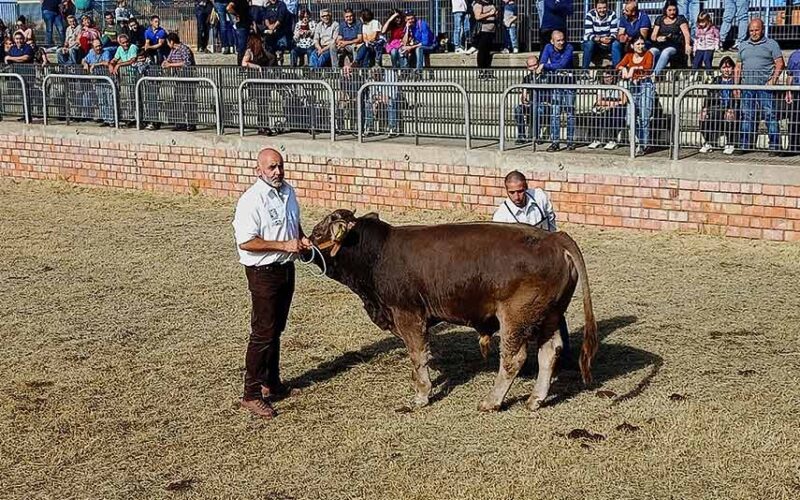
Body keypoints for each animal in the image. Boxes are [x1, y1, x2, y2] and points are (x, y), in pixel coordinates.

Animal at [310, 209, 596, 412]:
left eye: (316, 233)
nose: (304, 246)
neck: (378, 253)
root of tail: (554, 237)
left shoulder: (407, 315)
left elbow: (418, 356)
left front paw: (421, 395)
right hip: (550, 316)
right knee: (549, 352)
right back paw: (535, 399)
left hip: (516, 319)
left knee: (513, 359)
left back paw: (491, 401)